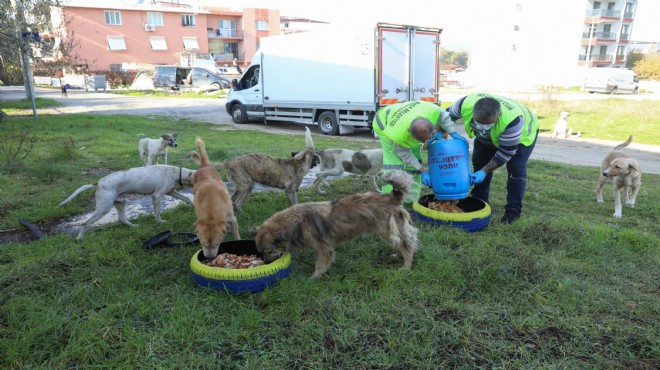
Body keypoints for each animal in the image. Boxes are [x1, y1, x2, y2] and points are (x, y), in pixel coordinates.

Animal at [58, 165, 196, 240]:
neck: (176, 173)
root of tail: (97, 183)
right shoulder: (156, 196)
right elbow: (157, 213)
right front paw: (160, 222)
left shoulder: (172, 192)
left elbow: (187, 199)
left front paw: (194, 206)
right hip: (103, 208)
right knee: (85, 223)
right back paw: (80, 237)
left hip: (120, 203)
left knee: (122, 219)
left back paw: (134, 226)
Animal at [187, 127, 318, 211]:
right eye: (316, 158)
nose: (318, 162)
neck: (298, 162)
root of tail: (228, 163)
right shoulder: (290, 190)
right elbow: (295, 202)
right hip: (247, 186)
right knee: (237, 203)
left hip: (240, 186)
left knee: (233, 200)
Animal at [253, 171, 418, 278]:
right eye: (260, 252)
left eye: (269, 251)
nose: (266, 263)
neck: (297, 222)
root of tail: (392, 197)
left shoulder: (324, 249)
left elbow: (319, 265)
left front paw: (313, 278)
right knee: (403, 243)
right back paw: (397, 255)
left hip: (386, 230)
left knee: (407, 247)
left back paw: (406, 267)